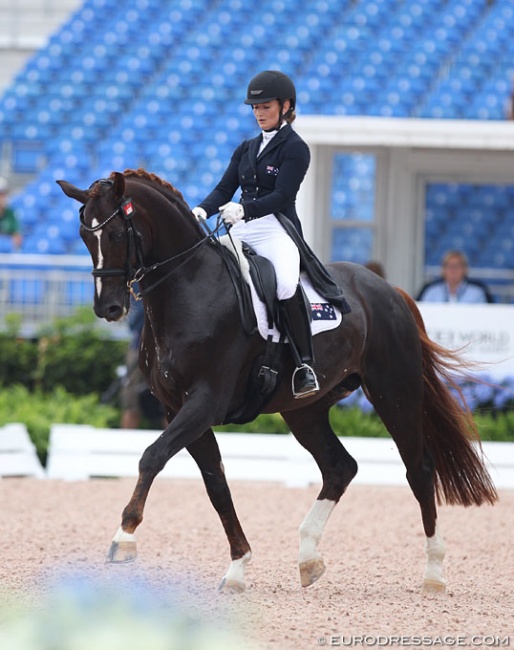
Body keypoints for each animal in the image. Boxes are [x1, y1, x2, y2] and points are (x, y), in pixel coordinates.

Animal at [57, 167, 496, 592]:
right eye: (84, 236)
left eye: (116, 234)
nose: (108, 308)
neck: (190, 287)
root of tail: (390, 290)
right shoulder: (175, 408)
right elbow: (215, 484)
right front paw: (237, 566)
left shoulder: (204, 402)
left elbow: (153, 456)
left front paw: (123, 538)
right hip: (305, 410)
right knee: (340, 467)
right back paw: (309, 558)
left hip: (395, 392)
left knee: (418, 468)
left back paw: (434, 574)